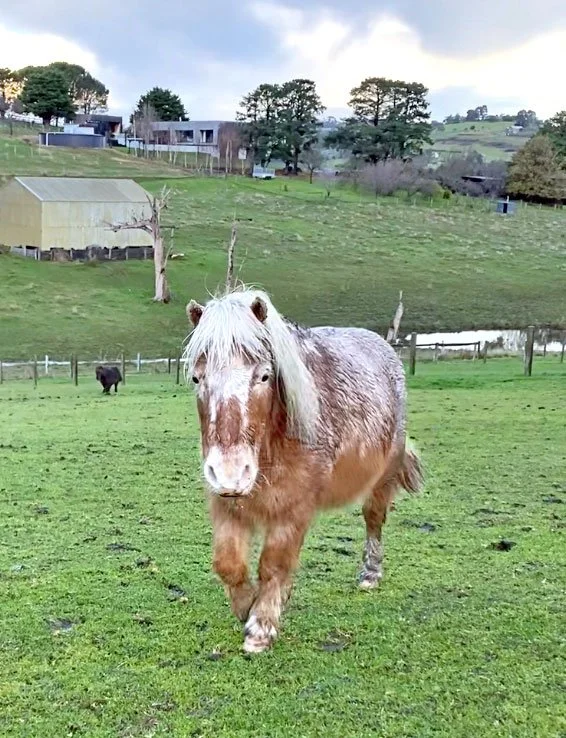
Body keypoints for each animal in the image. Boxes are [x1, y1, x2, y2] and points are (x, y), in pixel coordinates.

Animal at [184, 287, 422, 653]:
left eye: (264, 376)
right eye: (198, 378)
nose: (231, 472)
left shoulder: (293, 507)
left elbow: (274, 564)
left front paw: (261, 625)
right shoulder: (226, 504)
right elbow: (228, 564)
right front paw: (247, 606)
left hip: (382, 478)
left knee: (374, 520)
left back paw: (370, 574)